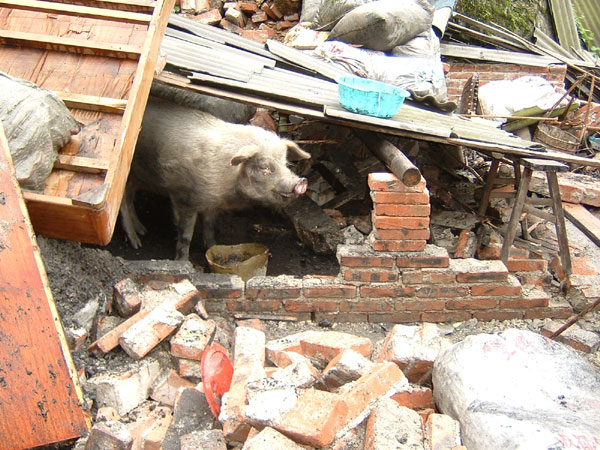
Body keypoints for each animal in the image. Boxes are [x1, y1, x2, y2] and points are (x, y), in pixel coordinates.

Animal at [120, 97, 312, 260]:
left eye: (285, 162)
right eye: (263, 167)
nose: (301, 182)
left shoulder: (211, 203)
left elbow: (210, 225)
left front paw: (212, 247)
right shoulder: (184, 197)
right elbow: (185, 234)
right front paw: (183, 262)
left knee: (130, 198)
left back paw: (142, 230)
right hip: (129, 174)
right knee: (123, 203)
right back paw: (137, 243)